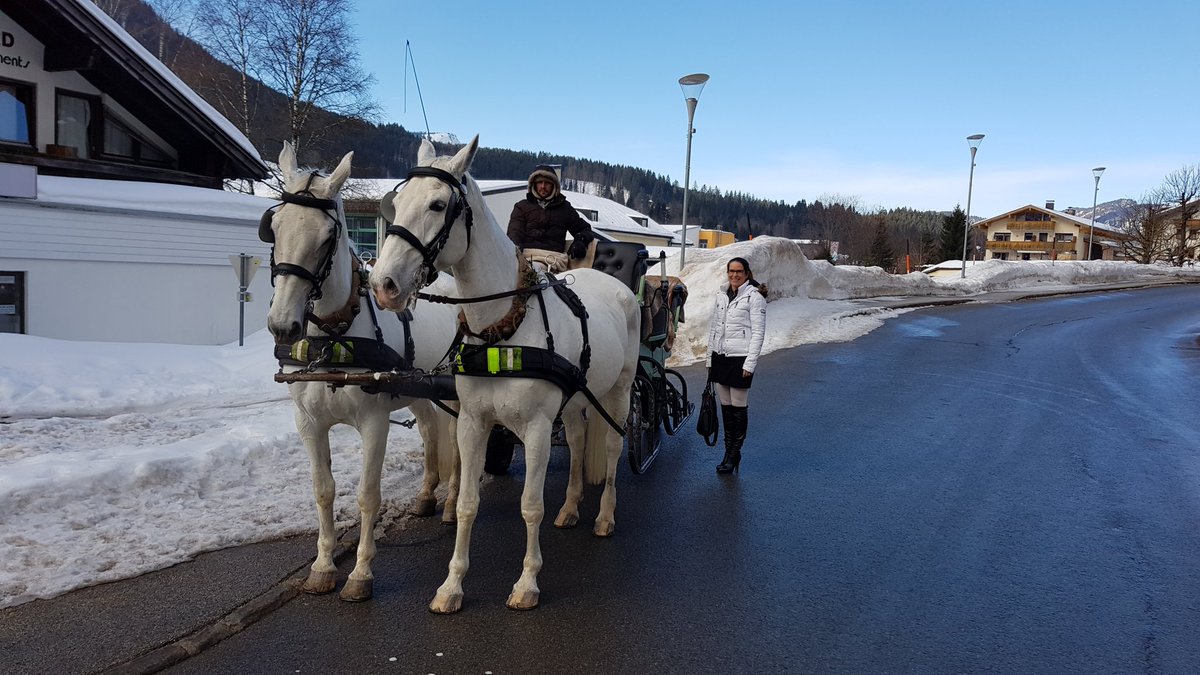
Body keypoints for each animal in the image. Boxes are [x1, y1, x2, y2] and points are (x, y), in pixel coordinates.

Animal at [262, 142, 462, 602]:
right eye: (274, 227)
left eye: (327, 237)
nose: (283, 325)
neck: (335, 336)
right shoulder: (308, 422)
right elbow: (323, 490)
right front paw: (322, 566)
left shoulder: (374, 422)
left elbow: (369, 495)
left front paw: (360, 573)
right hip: (420, 391)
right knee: (431, 432)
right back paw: (428, 494)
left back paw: (451, 501)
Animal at [369, 136, 641, 613]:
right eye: (397, 203)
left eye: (438, 204)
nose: (383, 286)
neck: (503, 327)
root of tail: (618, 286)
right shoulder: (473, 422)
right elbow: (466, 503)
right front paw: (451, 586)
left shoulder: (535, 428)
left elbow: (530, 505)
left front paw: (527, 582)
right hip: (577, 398)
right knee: (576, 440)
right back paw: (571, 507)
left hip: (620, 391)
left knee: (611, 445)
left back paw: (605, 515)